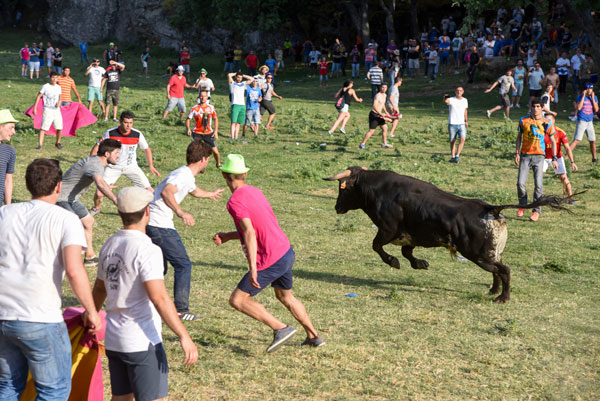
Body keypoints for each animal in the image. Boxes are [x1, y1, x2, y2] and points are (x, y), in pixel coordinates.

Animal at [324, 166, 572, 304]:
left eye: (343, 188)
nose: (337, 207)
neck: (377, 190)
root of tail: (491, 208)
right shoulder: (410, 236)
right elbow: (407, 253)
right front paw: (420, 264)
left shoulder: (388, 230)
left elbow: (377, 247)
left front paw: (393, 262)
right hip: (491, 254)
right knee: (497, 271)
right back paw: (493, 290)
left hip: (478, 255)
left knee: (505, 270)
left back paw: (502, 298)